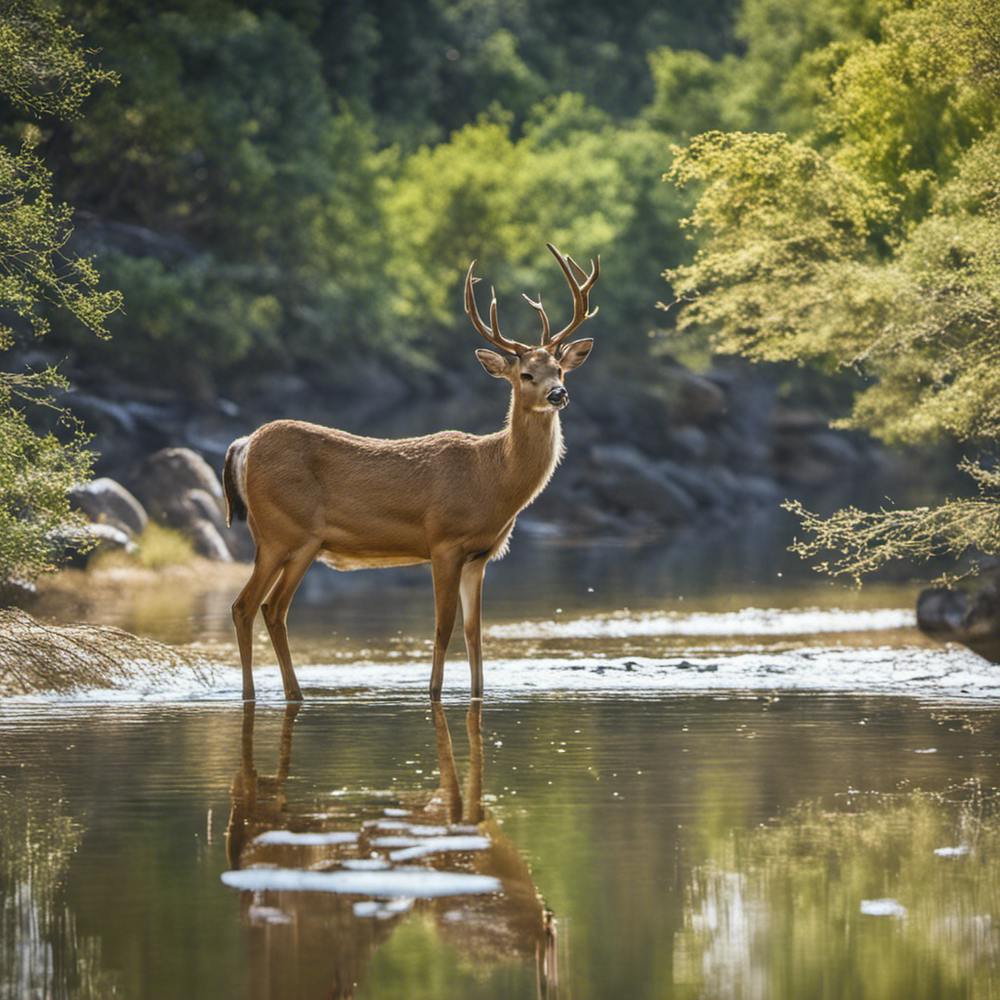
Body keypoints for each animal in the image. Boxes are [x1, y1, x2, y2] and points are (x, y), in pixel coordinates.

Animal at [223, 243, 599, 703]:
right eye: (526, 374)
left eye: (559, 370)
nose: (559, 393)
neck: (493, 476)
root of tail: (244, 445)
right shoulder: (443, 541)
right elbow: (442, 629)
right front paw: (433, 693)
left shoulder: (480, 555)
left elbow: (475, 634)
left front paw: (478, 694)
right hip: (286, 533)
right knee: (252, 606)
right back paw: (263, 694)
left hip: (287, 539)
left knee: (267, 609)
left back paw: (287, 694)